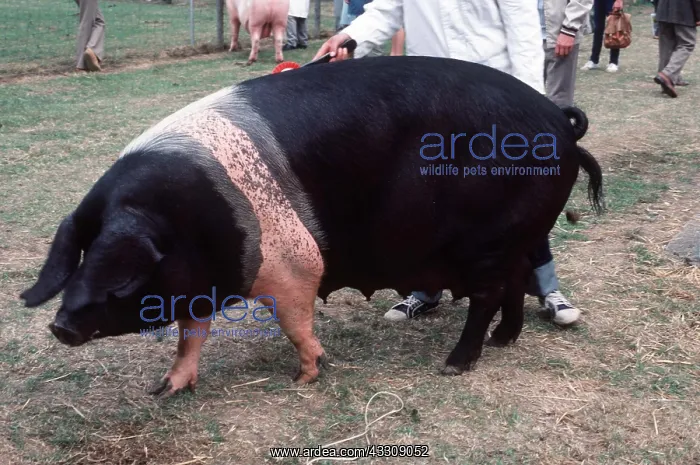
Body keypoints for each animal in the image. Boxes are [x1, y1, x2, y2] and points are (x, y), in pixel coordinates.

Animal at [20, 56, 603, 397]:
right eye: (81, 255)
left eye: (119, 275)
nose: (60, 325)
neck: (193, 222)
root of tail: (559, 122)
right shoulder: (198, 285)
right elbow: (191, 335)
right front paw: (164, 390)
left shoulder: (293, 263)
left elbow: (294, 321)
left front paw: (306, 376)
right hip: (519, 236)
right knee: (517, 279)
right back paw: (505, 341)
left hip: (491, 240)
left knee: (487, 294)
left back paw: (455, 365)